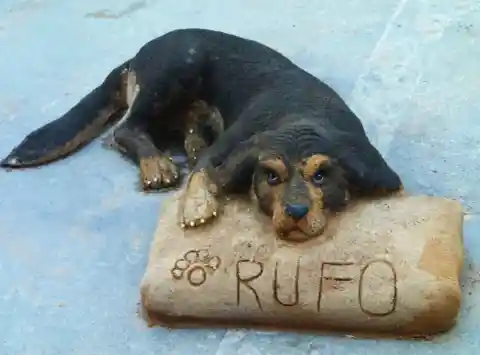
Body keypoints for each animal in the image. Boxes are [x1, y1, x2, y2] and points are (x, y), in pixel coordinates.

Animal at [1, 27, 404, 242]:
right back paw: (156, 163)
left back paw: (192, 140)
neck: (302, 113)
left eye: (321, 176)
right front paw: (197, 207)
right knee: (126, 128)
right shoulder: (233, 145)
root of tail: (137, 54)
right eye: (270, 176)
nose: (296, 211)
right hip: (182, 61)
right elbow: (205, 172)